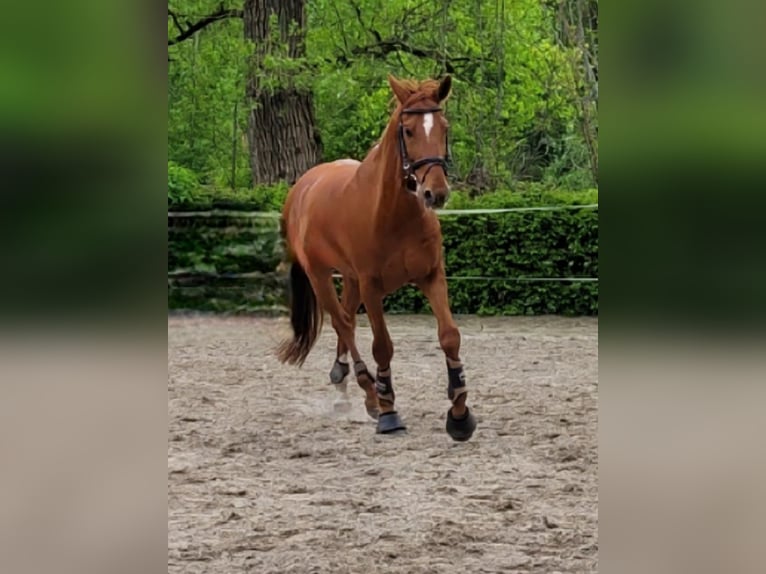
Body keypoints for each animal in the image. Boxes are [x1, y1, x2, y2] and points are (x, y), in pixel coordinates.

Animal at [275, 74, 476, 441]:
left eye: (444, 127)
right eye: (408, 130)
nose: (436, 193)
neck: (396, 214)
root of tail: (301, 188)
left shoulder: (431, 276)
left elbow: (449, 336)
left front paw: (459, 414)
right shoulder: (372, 287)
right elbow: (382, 346)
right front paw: (388, 411)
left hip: (350, 279)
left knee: (347, 322)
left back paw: (343, 380)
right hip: (320, 276)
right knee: (343, 323)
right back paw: (369, 392)